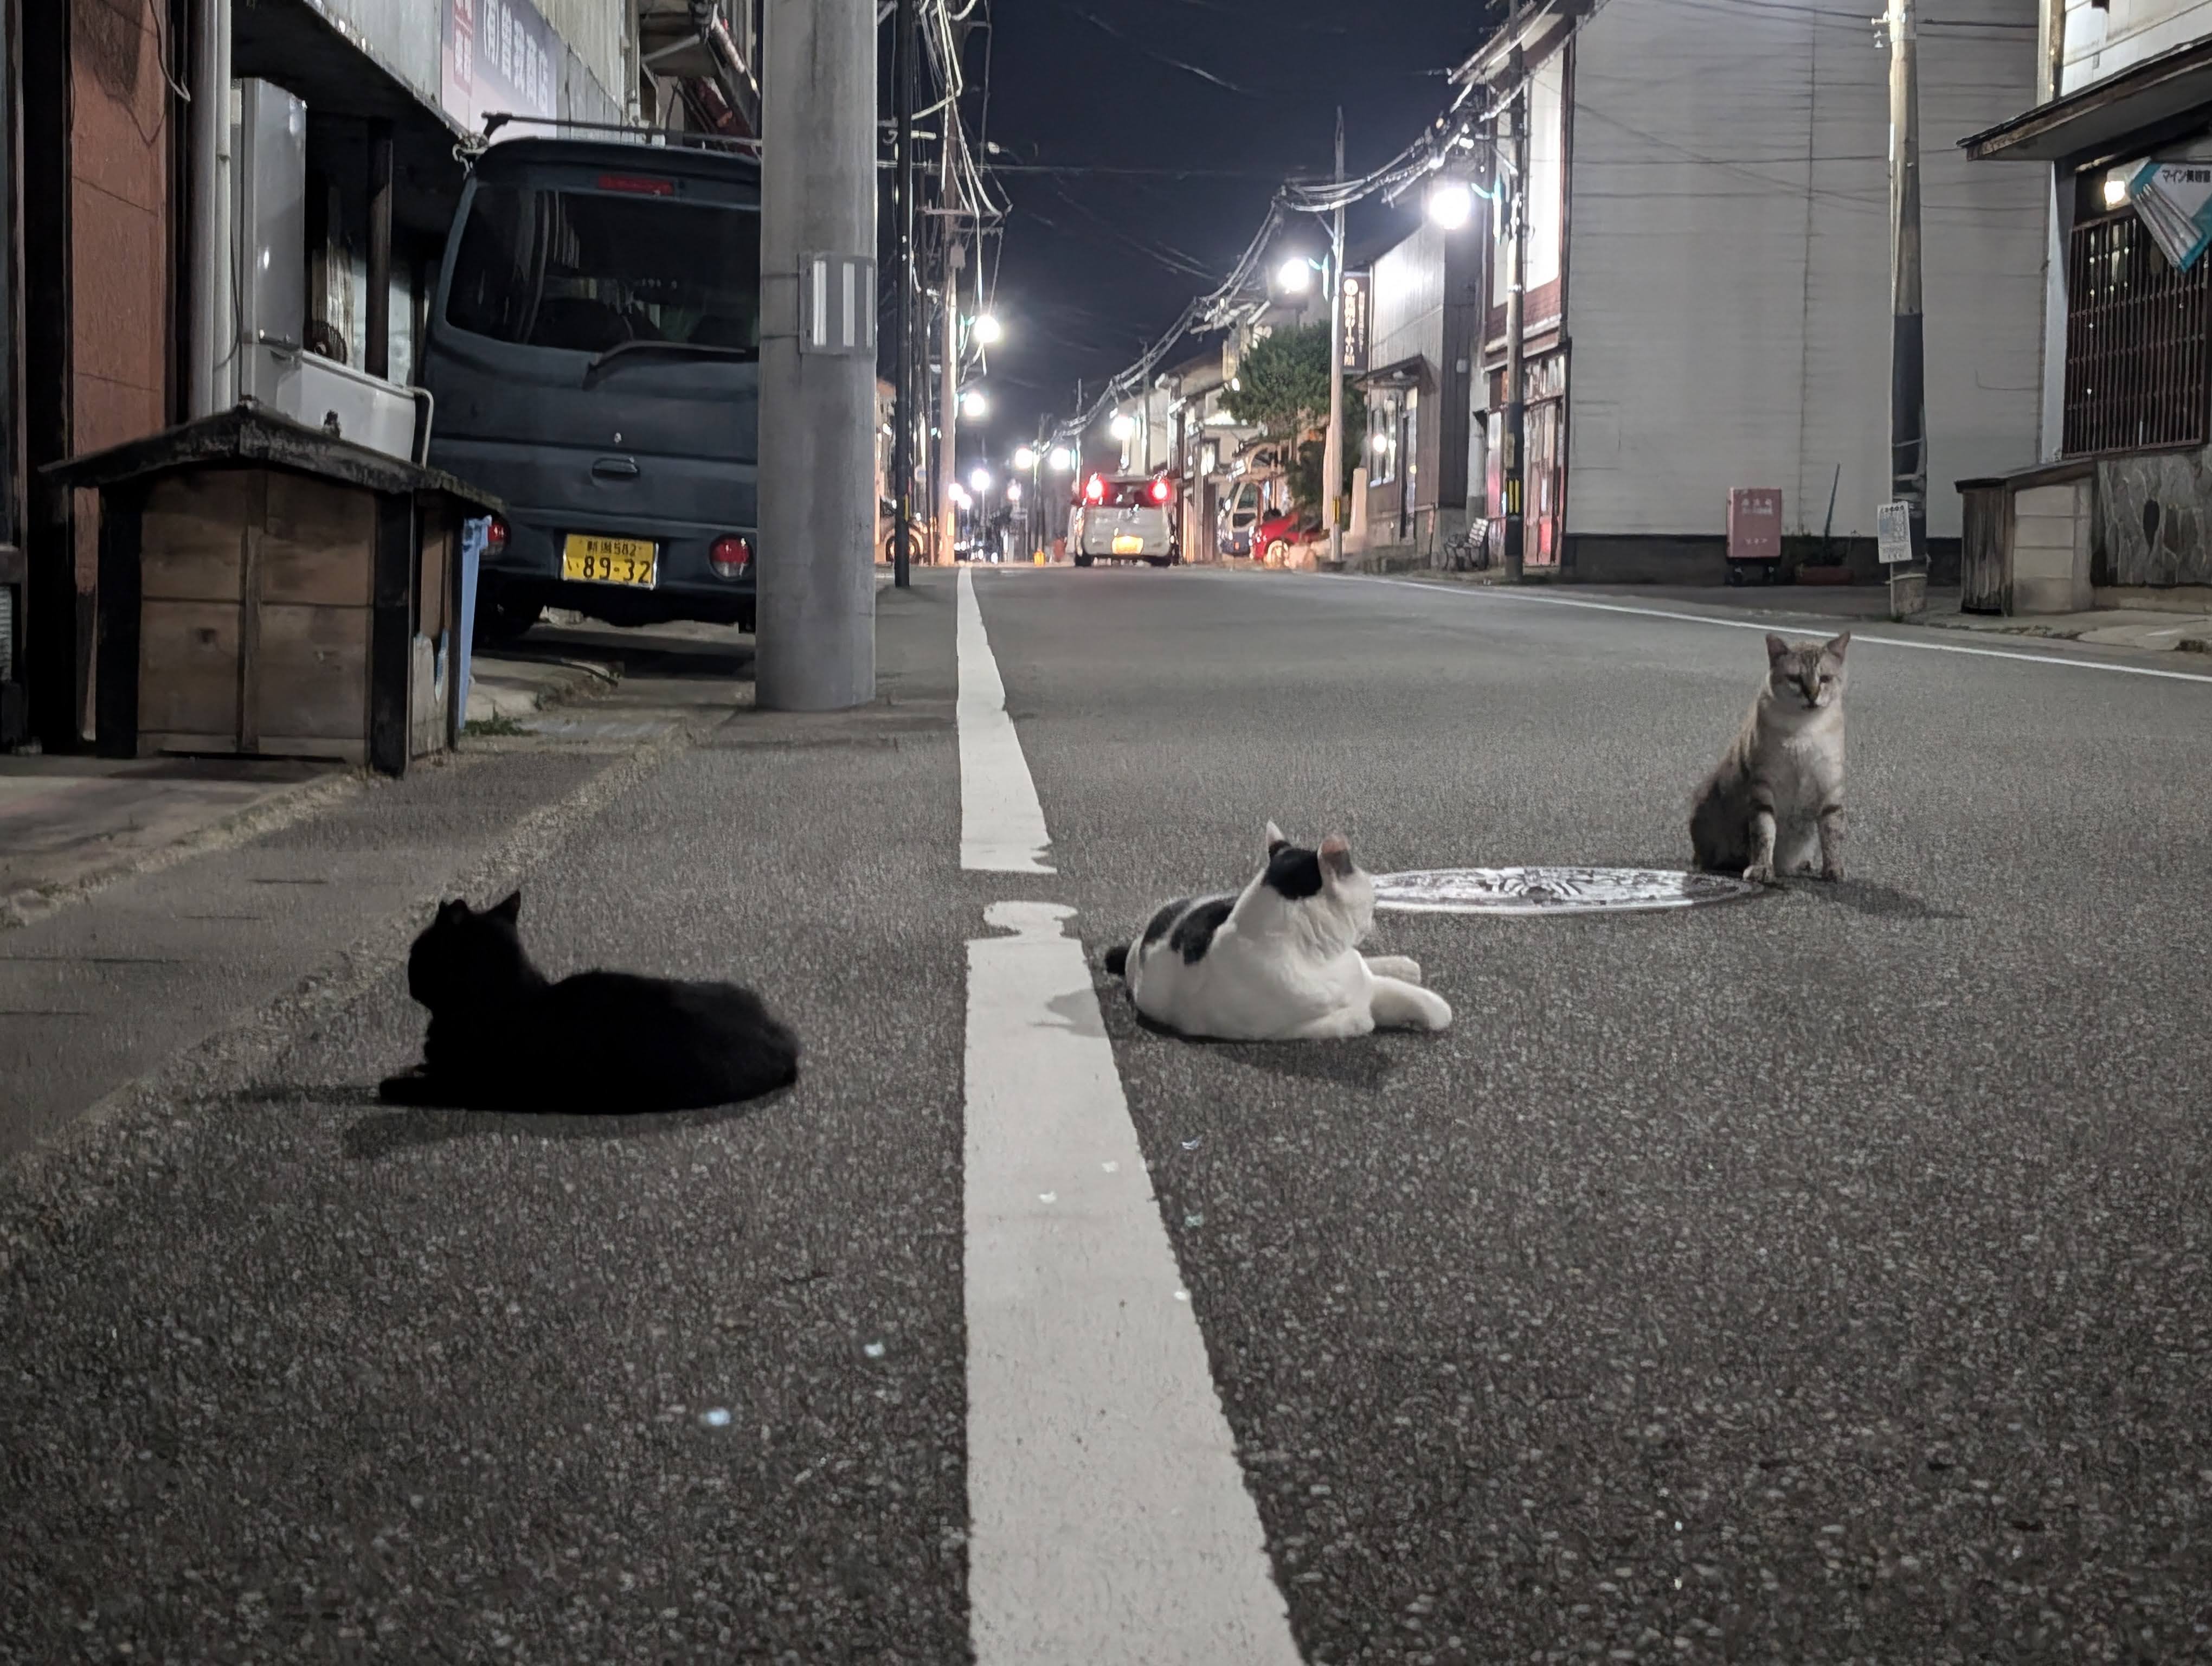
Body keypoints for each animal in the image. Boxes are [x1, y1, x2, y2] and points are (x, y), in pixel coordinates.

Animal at [377, 890, 800, 1112]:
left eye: (416, 953)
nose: (408, 977)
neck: (506, 995)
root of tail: (783, 1041)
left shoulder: (465, 1085)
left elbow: (402, 1084)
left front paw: (398, 1079)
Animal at [1102, 823, 1453, 1042]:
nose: (1376, 908)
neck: (1318, 960)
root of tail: (1137, 943)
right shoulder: (1278, 1030)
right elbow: (1355, 1019)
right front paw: (1361, 1018)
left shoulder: (1363, 982)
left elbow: (1427, 1004)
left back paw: (1403, 966)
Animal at [1689, 631, 1850, 885]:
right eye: (1795, 679)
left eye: (1825, 678)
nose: (1812, 695)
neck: (1804, 728)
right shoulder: (1763, 787)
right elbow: (1764, 833)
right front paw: (1762, 868)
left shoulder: (1830, 786)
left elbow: (1833, 833)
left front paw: (1834, 870)